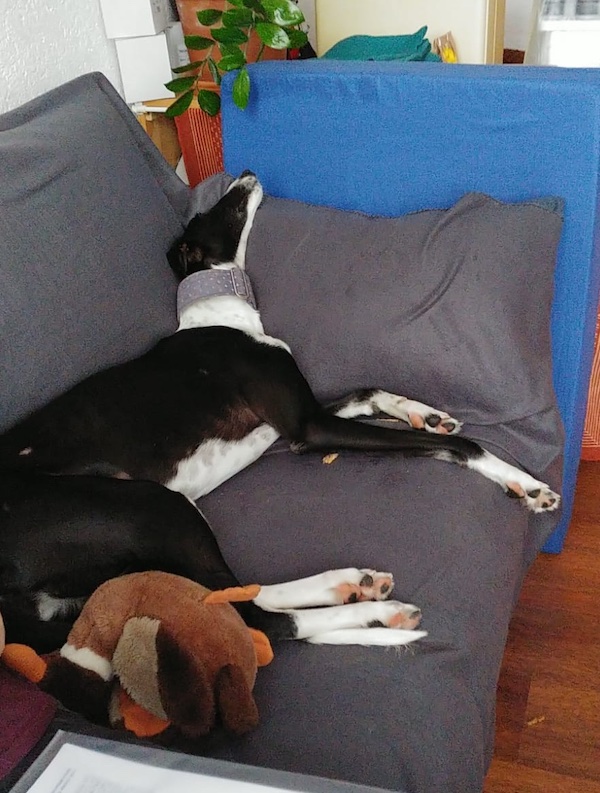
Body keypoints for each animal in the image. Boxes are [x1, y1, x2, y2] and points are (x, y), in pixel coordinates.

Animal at [0, 172, 559, 651]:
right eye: (212, 209)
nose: (245, 173)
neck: (216, 314)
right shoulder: (309, 428)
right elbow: (459, 445)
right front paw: (525, 484)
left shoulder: (295, 424)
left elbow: (372, 392)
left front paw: (424, 411)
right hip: (151, 506)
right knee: (250, 616)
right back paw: (373, 612)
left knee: (237, 594)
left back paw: (349, 584)